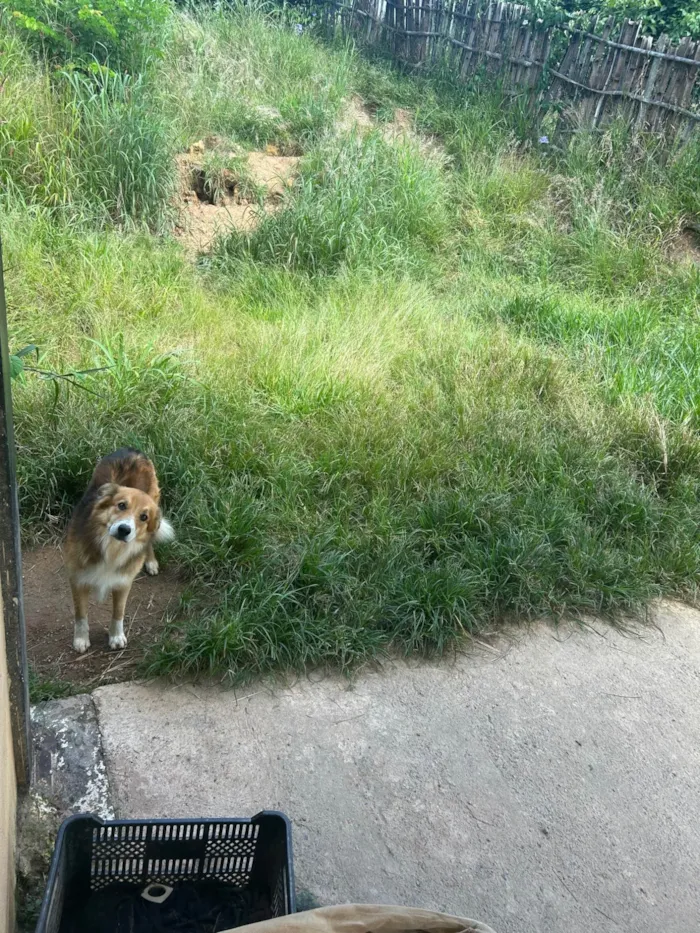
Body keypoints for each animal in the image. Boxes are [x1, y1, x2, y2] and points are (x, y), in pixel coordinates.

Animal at [65, 448, 174, 652]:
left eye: (144, 517)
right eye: (121, 505)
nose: (124, 530)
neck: (111, 548)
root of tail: (132, 449)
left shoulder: (123, 581)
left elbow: (118, 612)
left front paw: (116, 636)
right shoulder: (78, 579)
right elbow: (80, 614)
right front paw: (81, 639)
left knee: (149, 541)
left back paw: (150, 561)